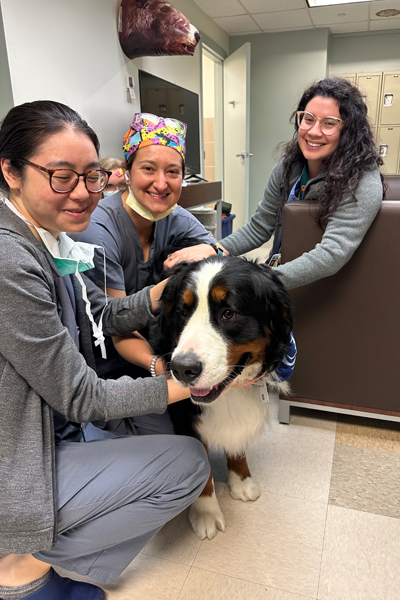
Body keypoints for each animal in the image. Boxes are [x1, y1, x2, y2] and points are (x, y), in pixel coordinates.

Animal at [152, 255, 292, 540]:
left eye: (229, 313)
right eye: (183, 312)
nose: (182, 369)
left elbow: (237, 441)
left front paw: (241, 480)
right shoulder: (185, 417)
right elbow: (202, 466)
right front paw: (206, 512)